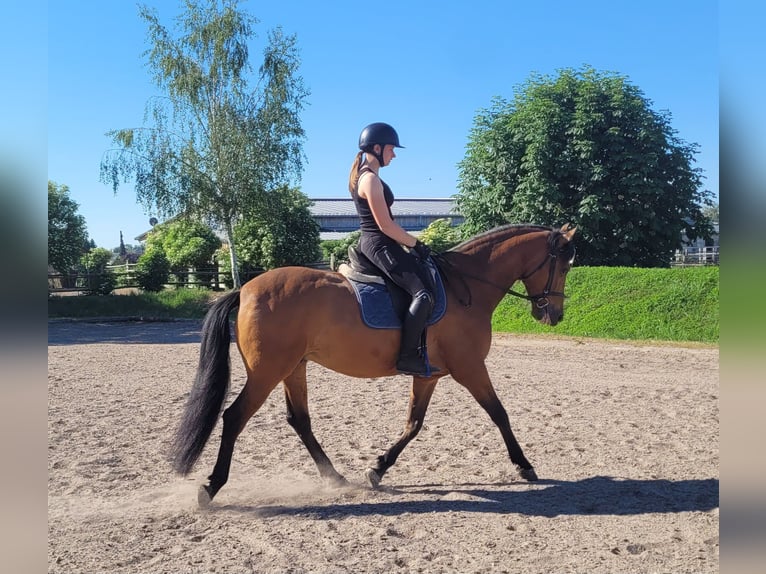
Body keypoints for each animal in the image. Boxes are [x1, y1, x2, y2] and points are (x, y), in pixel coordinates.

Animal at [171, 223, 577, 506]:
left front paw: (377, 468)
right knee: (234, 417)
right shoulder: (470, 368)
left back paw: (334, 476)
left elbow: (414, 424)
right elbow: (499, 413)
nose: (554, 314)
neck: (467, 288)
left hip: (293, 368)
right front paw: (524, 465)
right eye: (563, 267)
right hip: (267, 372)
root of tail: (247, 288)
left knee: (299, 420)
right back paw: (211, 486)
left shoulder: (429, 375)